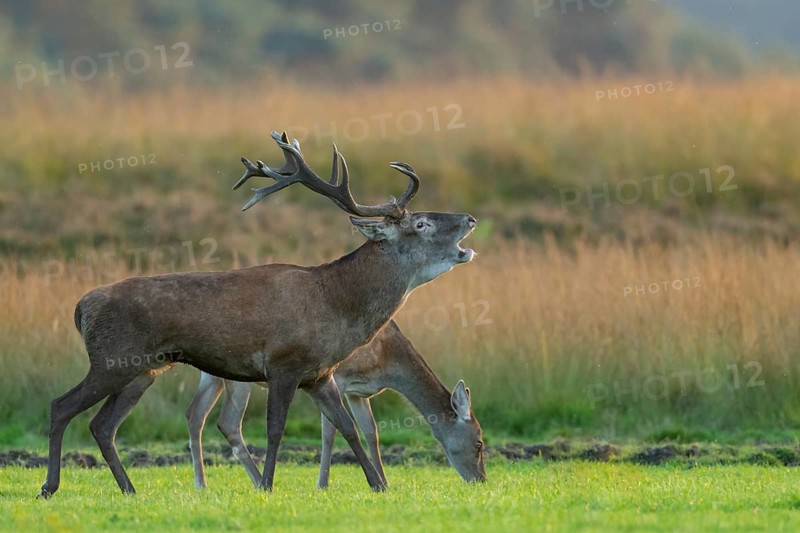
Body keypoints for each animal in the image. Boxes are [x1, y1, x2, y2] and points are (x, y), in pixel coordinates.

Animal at [187, 320, 485, 490]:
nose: (481, 480)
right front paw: (322, 484)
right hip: (236, 377)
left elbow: (371, 432)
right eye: (479, 443)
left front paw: (384, 480)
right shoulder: (336, 377)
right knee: (228, 421)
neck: (385, 361)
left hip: (212, 375)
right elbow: (329, 433)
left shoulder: (359, 393)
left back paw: (203, 484)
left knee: (195, 414)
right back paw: (257, 482)